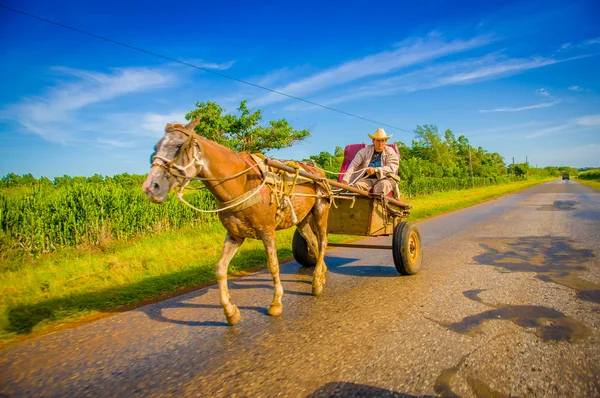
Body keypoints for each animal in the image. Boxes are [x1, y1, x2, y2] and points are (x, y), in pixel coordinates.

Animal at [142, 118, 330, 324]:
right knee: (312, 241)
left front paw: (276, 302)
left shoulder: (267, 231)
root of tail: (317, 171)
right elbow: (220, 268)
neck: (242, 183)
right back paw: (321, 273)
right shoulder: (234, 235)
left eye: (178, 146)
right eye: (156, 147)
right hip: (302, 218)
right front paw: (230, 311)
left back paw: (316, 282)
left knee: (322, 242)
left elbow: (273, 266)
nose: (150, 187)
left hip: (320, 210)